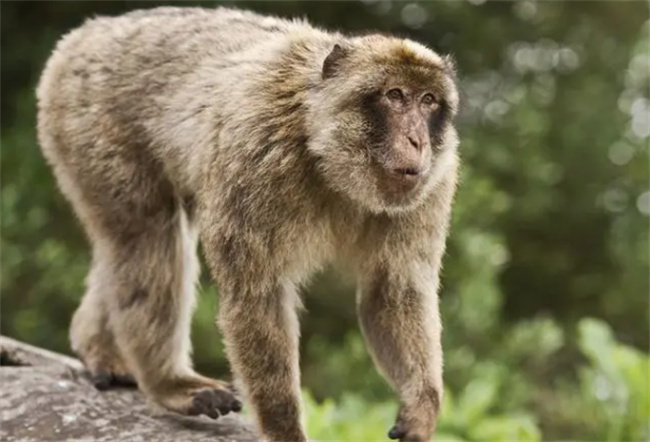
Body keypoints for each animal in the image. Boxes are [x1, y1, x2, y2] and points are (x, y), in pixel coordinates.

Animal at [35, 6, 458, 442]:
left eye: (428, 101)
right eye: (395, 96)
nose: (418, 141)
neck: (321, 145)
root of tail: (89, 31)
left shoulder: (434, 184)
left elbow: (393, 291)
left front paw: (421, 406)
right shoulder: (254, 156)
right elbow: (256, 296)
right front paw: (285, 431)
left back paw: (98, 348)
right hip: (88, 121)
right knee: (145, 233)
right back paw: (167, 383)